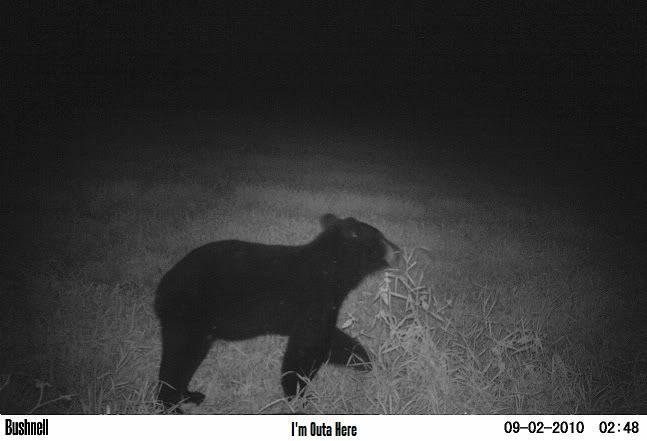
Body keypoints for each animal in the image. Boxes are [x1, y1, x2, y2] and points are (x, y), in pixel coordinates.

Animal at [154, 213, 400, 410]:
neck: (331, 269)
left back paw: (189, 395)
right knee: (179, 356)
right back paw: (172, 406)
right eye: (382, 238)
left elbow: (331, 339)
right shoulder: (313, 299)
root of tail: (162, 286)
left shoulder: (322, 306)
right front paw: (299, 396)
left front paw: (364, 360)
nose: (399, 249)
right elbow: (304, 348)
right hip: (189, 313)